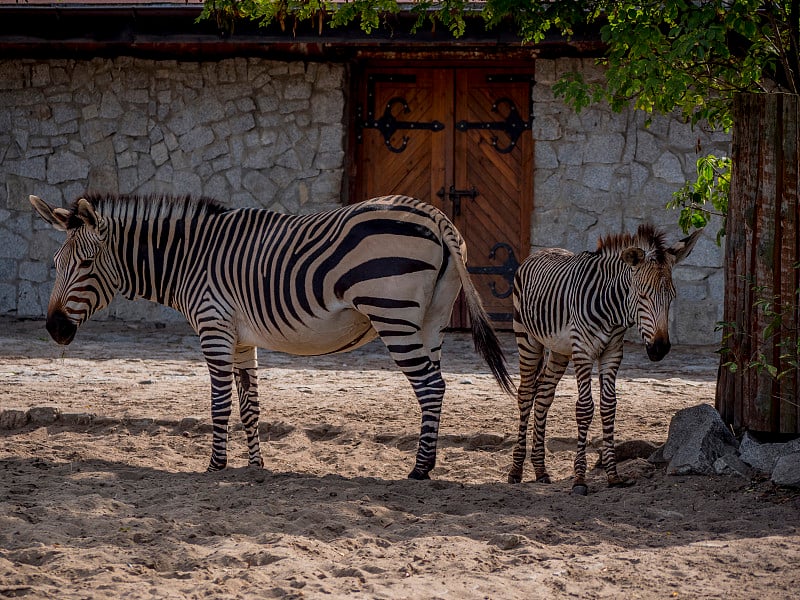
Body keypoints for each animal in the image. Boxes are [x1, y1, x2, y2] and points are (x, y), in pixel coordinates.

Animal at [31, 193, 512, 478]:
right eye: (56, 264)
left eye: (85, 265)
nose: (53, 329)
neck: (189, 259)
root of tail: (435, 216)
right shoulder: (243, 338)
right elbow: (250, 406)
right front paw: (256, 466)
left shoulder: (214, 327)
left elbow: (220, 404)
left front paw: (216, 465)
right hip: (431, 319)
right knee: (439, 385)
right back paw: (426, 463)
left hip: (392, 314)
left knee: (429, 387)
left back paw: (420, 469)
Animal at [506, 223, 700, 494]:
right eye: (642, 295)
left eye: (671, 297)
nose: (659, 349)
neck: (612, 311)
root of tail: (539, 252)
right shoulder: (583, 352)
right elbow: (585, 408)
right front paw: (579, 478)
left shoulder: (612, 353)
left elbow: (609, 406)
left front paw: (613, 475)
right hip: (526, 337)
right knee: (525, 394)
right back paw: (515, 471)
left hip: (559, 350)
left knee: (543, 396)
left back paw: (541, 470)